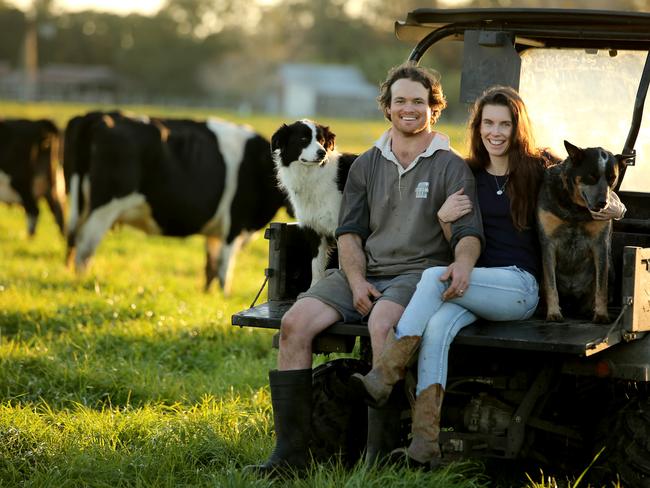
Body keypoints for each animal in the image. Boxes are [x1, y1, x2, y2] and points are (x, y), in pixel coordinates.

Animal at [65, 111, 286, 294]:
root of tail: (100, 115)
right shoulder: (234, 225)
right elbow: (224, 269)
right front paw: (224, 297)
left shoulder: (216, 233)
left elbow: (211, 267)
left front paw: (208, 296)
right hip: (103, 209)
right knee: (85, 248)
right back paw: (82, 281)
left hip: (82, 206)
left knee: (74, 243)